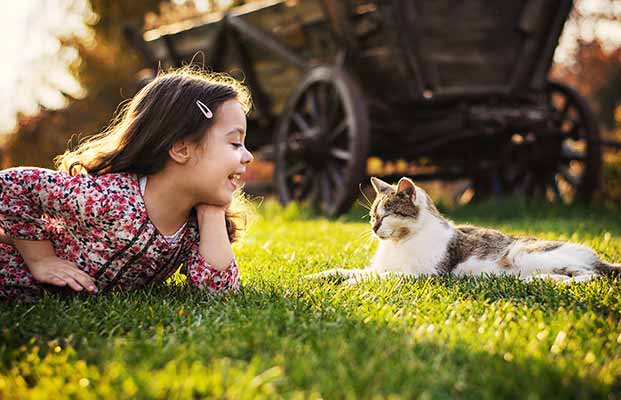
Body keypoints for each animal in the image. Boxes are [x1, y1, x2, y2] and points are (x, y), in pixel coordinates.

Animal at [308, 176, 616, 284]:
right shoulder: (379, 267)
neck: (400, 243)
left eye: (386, 215)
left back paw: (541, 281)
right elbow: (346, 270)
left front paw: (350, 284)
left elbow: (380, 277)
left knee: (590, 275)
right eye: (373, 215)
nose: (374, 228)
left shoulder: (424, 274)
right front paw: (320, 276)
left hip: (526, 254)